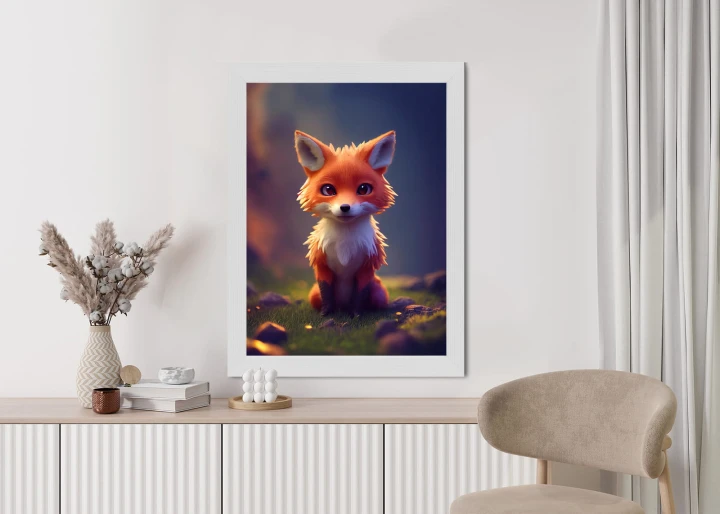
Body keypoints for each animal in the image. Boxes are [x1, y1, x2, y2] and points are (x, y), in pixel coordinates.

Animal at [294, 129, 397, 316]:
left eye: (364, 189)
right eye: (328, 190)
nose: (345, 207)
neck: (345, 244)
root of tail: (342, 306)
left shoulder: (367, 267)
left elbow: (359, 296)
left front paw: (356, 315)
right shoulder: (322, 265)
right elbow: (326, 294)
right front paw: (326, 314)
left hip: (379, 293)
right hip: (313, 295)